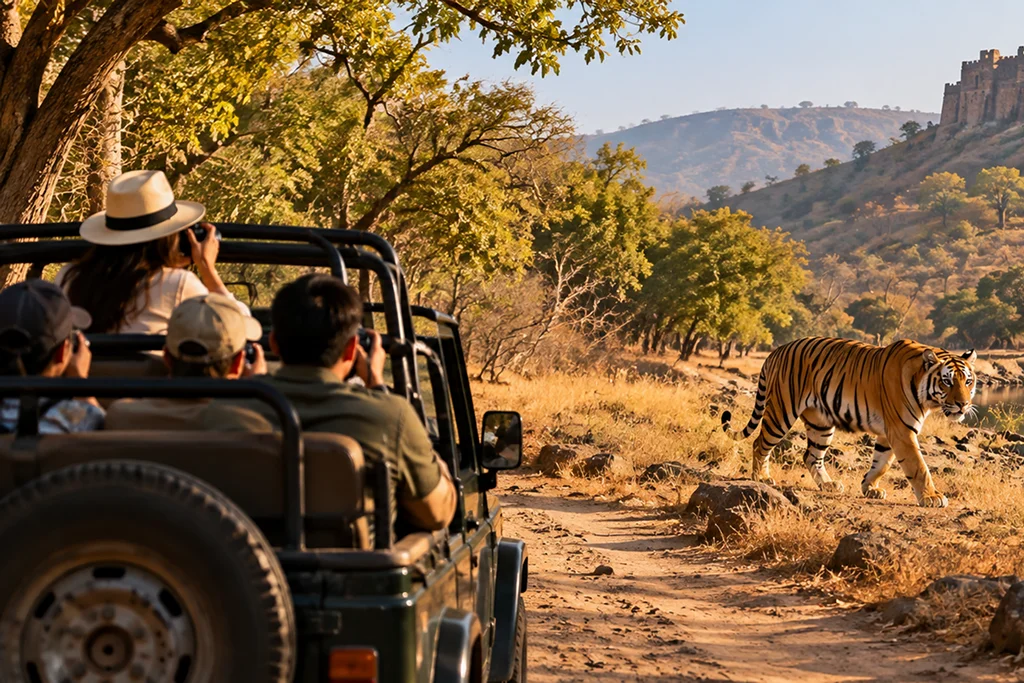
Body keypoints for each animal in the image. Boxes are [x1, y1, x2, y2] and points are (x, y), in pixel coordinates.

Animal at [720, 337, 977, 508]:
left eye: (968, 381)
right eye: (947, 381)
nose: (963, 404)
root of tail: (776, 351)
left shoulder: (889, 432)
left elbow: (881, 463)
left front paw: (869, 487)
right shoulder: (902, 430)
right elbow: (918, 466)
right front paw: (932, 497)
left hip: (821, 423)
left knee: (811, 456)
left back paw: (828, 484)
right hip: (781, 412)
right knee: (760, 443)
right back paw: (762, 478)